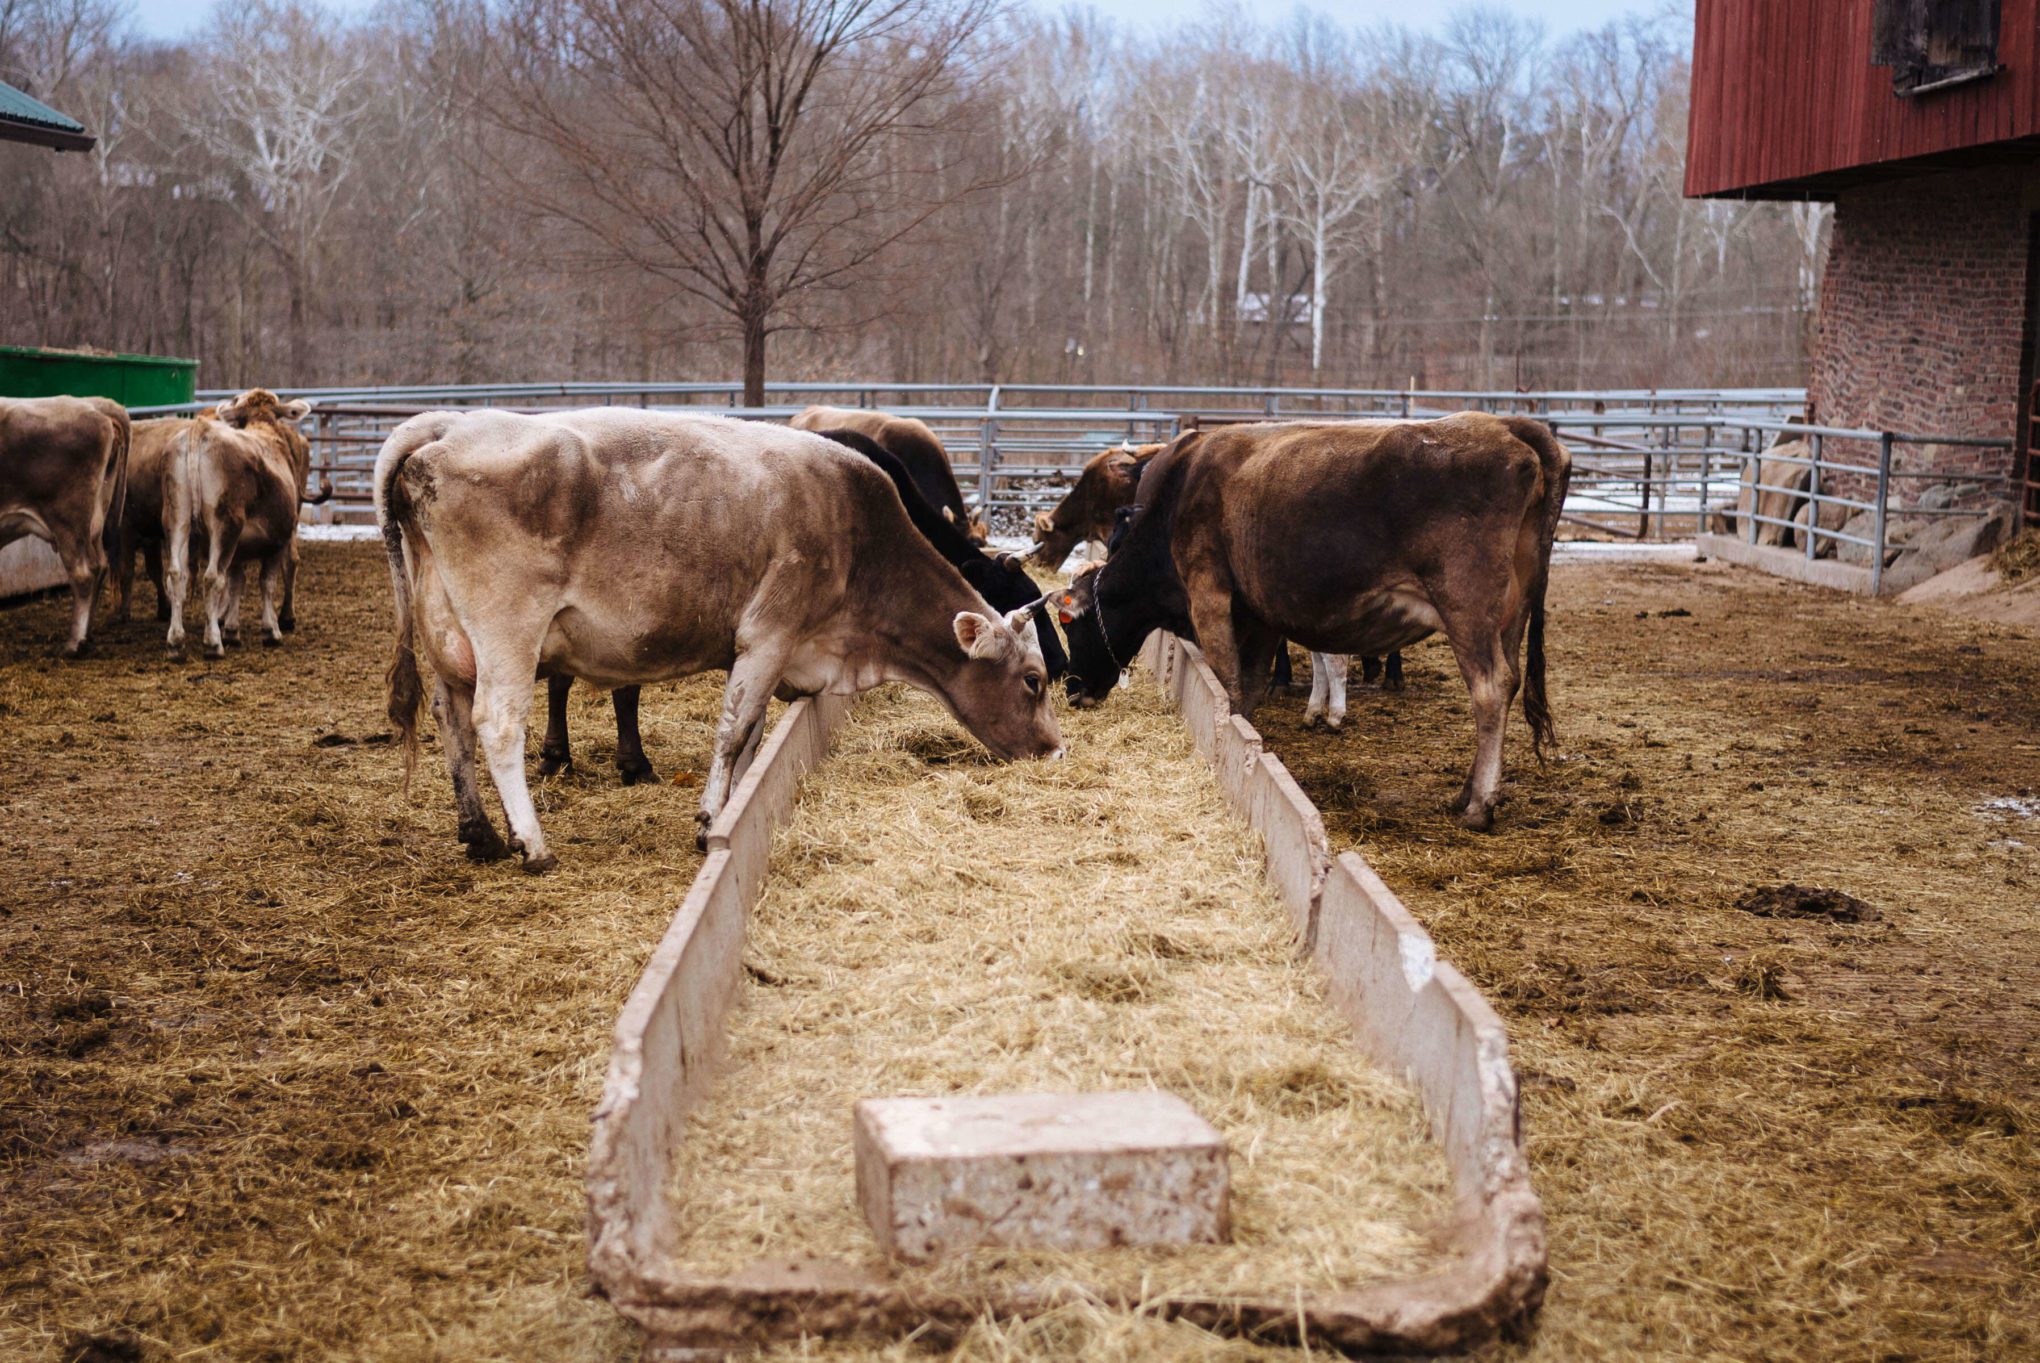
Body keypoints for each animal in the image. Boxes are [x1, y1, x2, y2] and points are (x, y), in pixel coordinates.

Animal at [0, 393, 130, 652]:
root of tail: (95, 404)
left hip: (68, 522)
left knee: (83, 573)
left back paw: (74, 643)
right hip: (94, 523)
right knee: (100, 566)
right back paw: (86, 635)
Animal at [1060, 410, 1566, 824]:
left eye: (1070, 625)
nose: (1072, 690)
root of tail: (1506, 427)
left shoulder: (1208, 590)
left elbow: (1228, 682)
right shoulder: (1259, 615)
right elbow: (1250, 685)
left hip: (1466, 608)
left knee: (1492, 688)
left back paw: (1479, 804)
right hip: (1512, 614)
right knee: (1512, 678)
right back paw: (1465, 793)